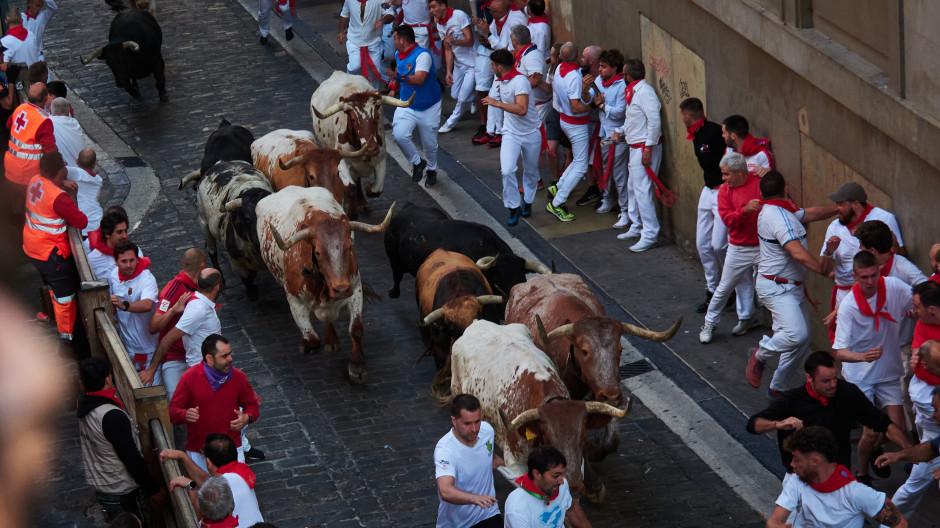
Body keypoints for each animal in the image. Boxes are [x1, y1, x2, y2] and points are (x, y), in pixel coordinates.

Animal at [255, 186, 394, 384]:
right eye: (318, 252)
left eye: (349, 246)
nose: (341, 288)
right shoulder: (294, 300)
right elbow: (312, 338)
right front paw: (305, 345)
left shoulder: (355, 289)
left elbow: (356, 329)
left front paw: (357, 367)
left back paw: (332, 339)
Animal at [310, 70, 414, 202]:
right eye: (353, 119)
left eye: (376, 116)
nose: (371, 148)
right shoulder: (341, 162)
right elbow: (350, 188)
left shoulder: (381, 159)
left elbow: (375, 190)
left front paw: (368, 186)